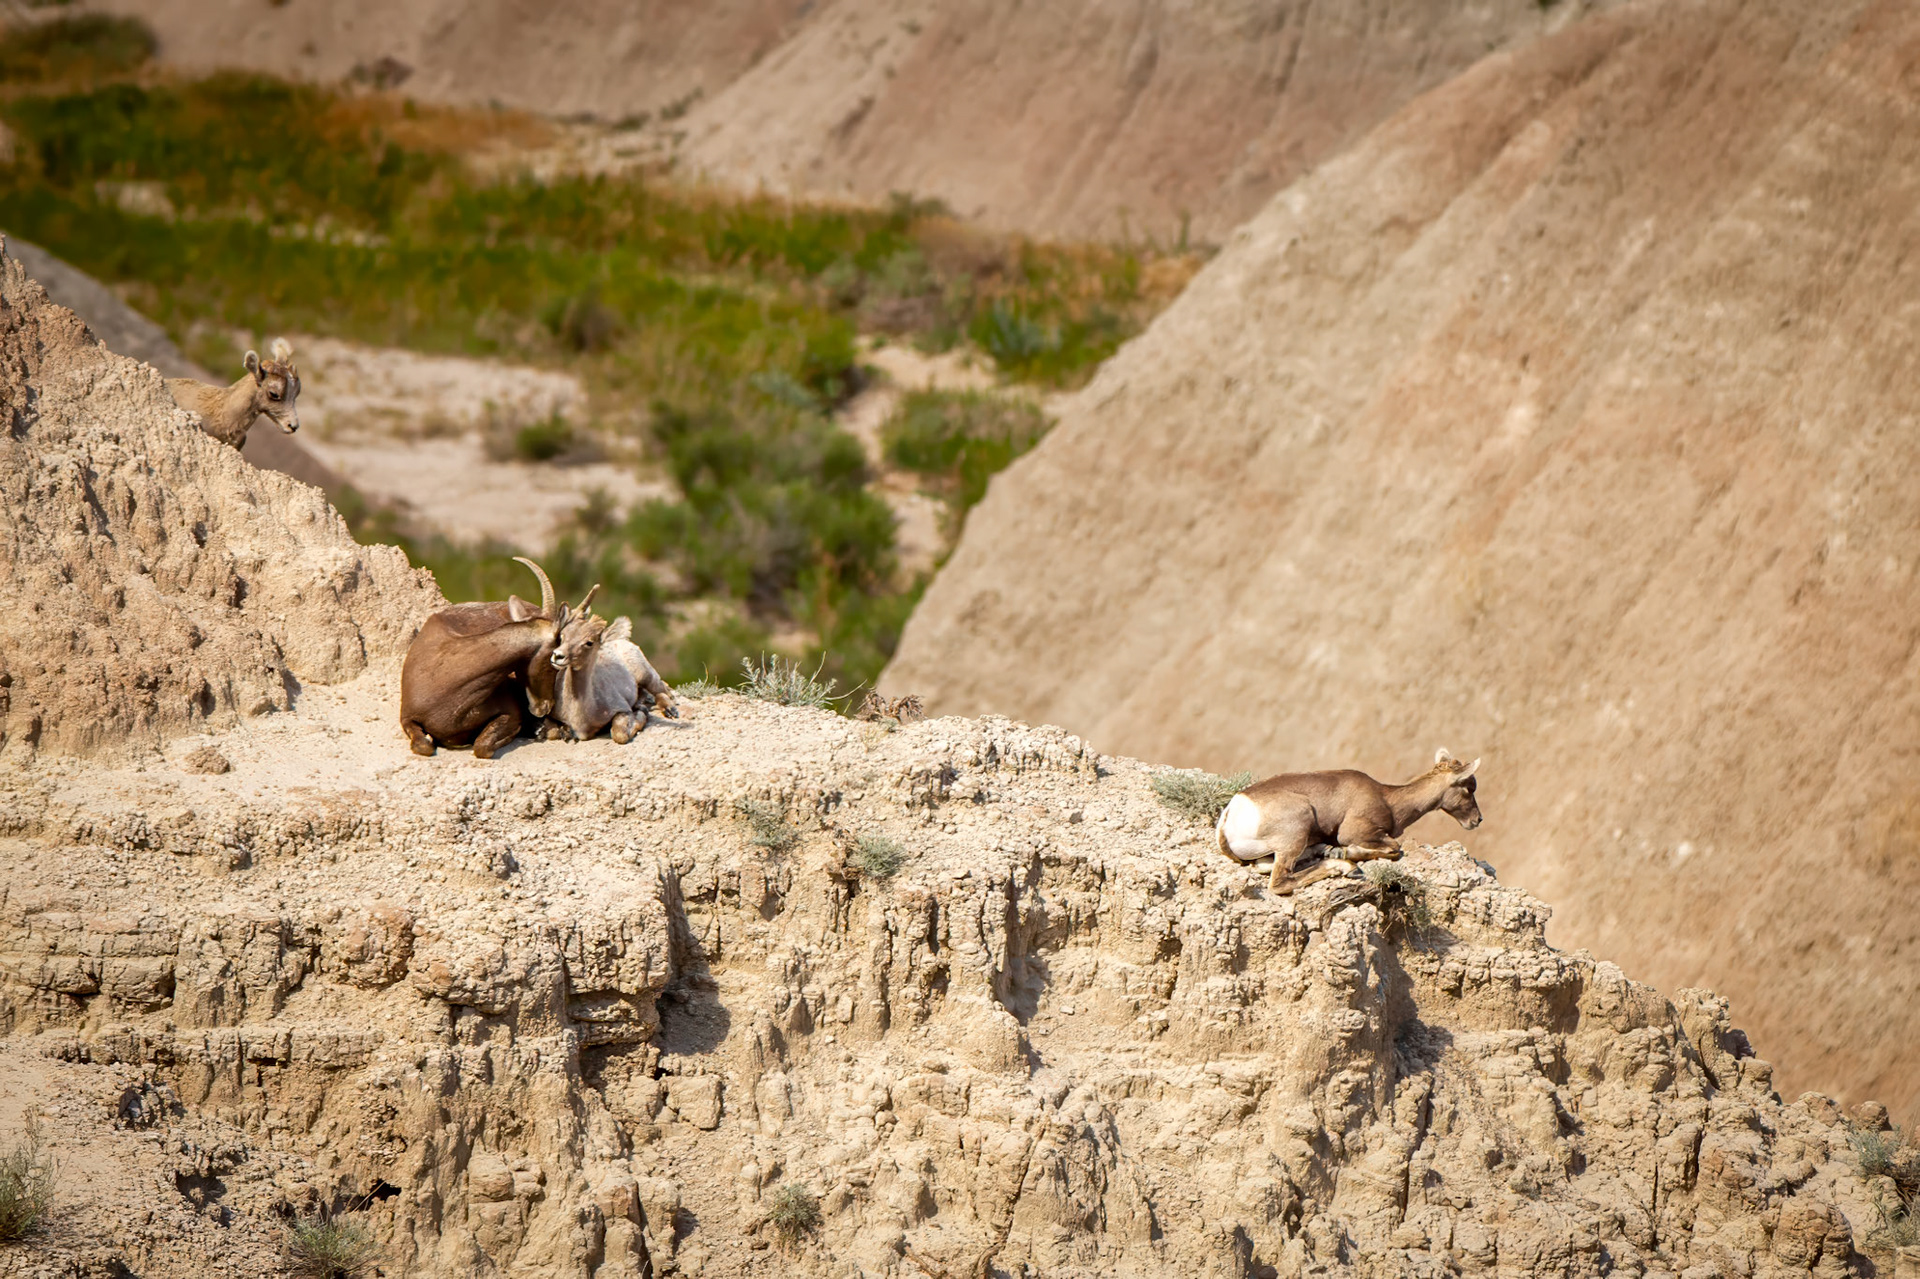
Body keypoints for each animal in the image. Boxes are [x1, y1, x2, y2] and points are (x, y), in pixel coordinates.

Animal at [399, 557, 570, 759]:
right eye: (554, 661)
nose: (544, 707)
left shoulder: (511, 712)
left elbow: (482, 747)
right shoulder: (407, 717)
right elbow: (423, 746)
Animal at [541, 585, 679, 744]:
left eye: (589, 642)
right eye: (563, 636)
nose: (557, 656)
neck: (579, 715)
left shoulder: (622, 710)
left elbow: (619, 734)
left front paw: (641, 712)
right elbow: (552, 732)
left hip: (647, 676)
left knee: (663, 690)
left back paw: (670, 710)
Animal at [1216, 749, 1482, 894]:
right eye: (1469, 787)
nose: (1477, 820)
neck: (1387, 798)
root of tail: (1232, 812)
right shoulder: (1359, 833)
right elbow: (1396, 849)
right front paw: (1348, 854)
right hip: (1296, 833)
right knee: (1279, 882)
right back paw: (1345, 866)